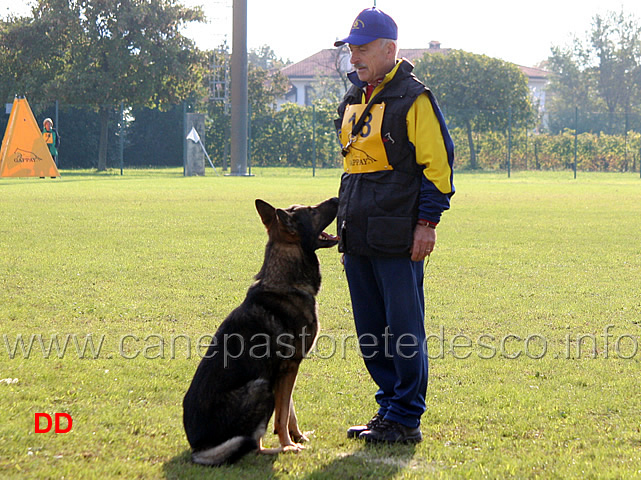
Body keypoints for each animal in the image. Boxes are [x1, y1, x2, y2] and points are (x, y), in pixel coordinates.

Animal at [181, 195, 340, 464]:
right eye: (312, 210)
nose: (337, 197)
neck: (286, 282)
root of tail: (199, 449)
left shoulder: (284, 371)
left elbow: (289, 410)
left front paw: (297, 436)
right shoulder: (288, 367)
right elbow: (283, 415)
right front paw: (289, 443)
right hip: (261, 387)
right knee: (253, 446)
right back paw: (282, 450)